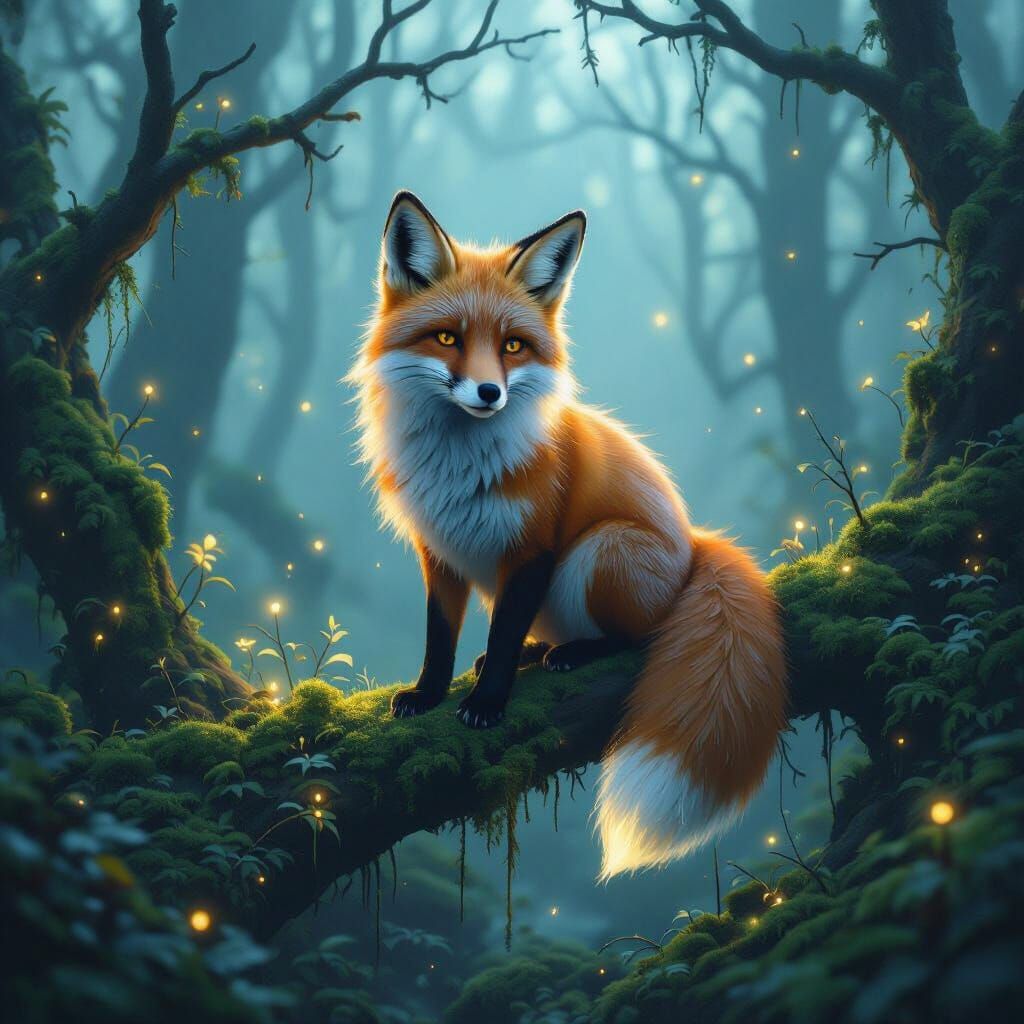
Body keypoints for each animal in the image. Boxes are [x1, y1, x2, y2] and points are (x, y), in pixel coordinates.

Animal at [350, 191, 788, 879]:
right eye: (447, 338)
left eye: (512, 346)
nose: (489, 392)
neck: (460, 466)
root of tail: (695, 544)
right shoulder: (439, 552)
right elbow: (440, 638)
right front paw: (427, 694)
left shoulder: (533, 548)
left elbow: (502, 635)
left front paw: (486, 704)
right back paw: (542, 651)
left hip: (600, 549)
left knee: (639, 636)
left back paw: (572, 654)